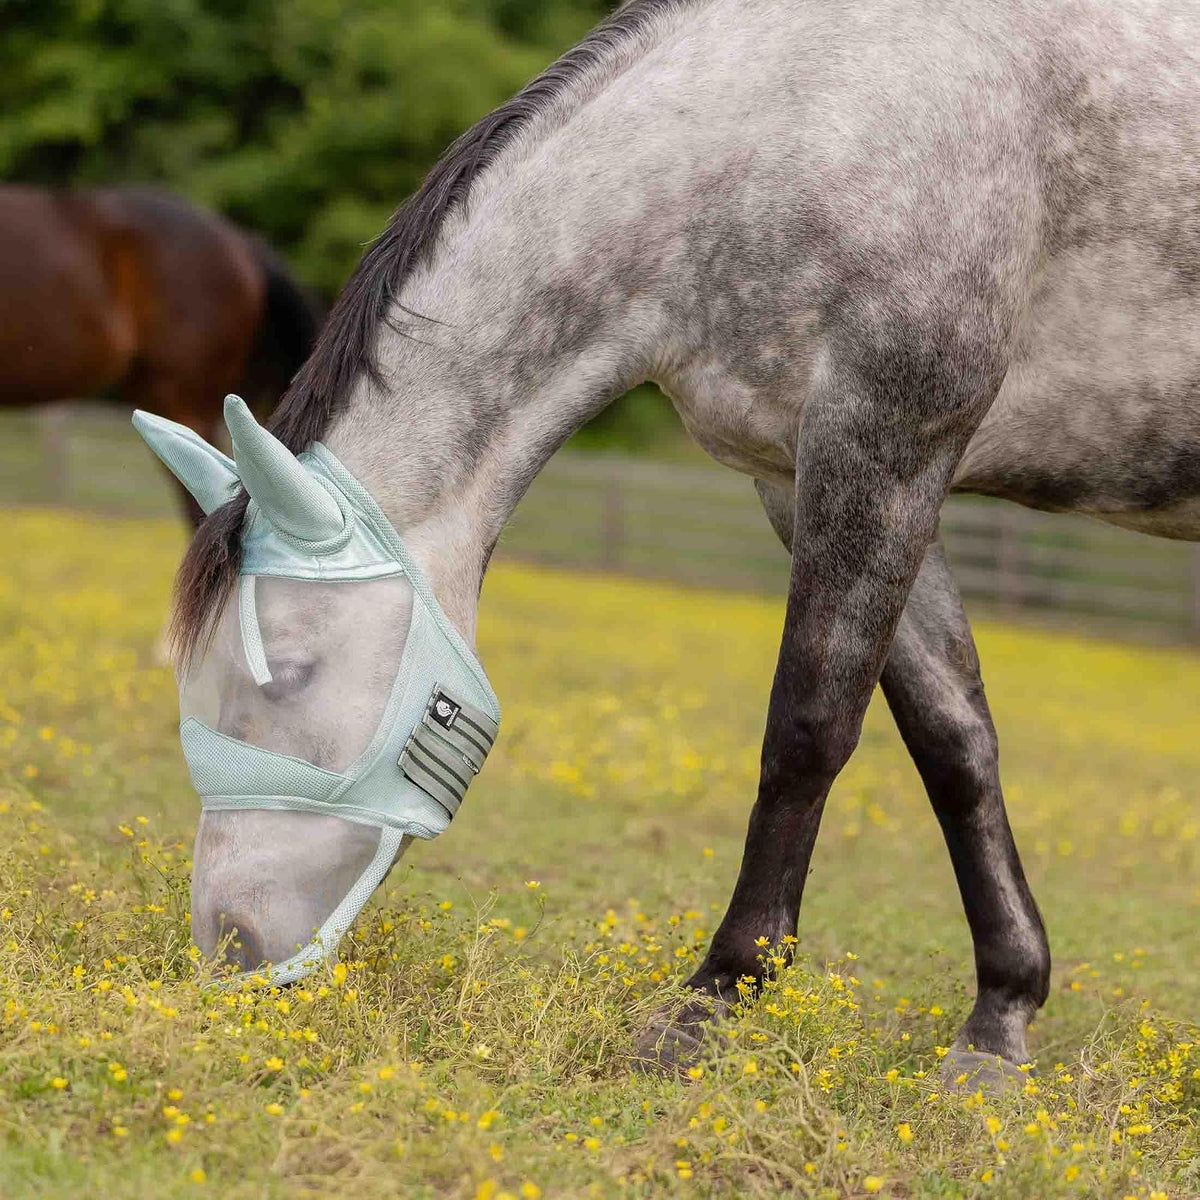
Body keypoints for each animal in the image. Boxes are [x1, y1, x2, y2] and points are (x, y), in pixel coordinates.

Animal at [159, 0, 1199, 1083]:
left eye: (291, 673)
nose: (232, 949)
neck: (802, 117)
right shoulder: (812, 477)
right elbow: (955, 742)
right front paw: (999, 1020)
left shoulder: (884, 448)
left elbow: (808, 729)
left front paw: (716, 997)